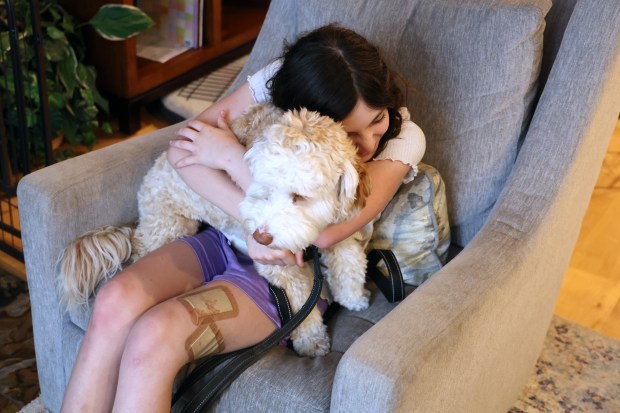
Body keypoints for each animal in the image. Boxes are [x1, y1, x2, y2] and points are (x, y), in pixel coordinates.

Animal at [60, 102, 372, 354]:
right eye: (262, 188)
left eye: (299, 196)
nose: (261, 237)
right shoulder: (278, 267)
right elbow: (301, 304)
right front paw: (312, 341)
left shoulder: (337, 228)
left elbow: (350, 260)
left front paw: (353, 298)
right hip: (172, 225)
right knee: (139, 247)